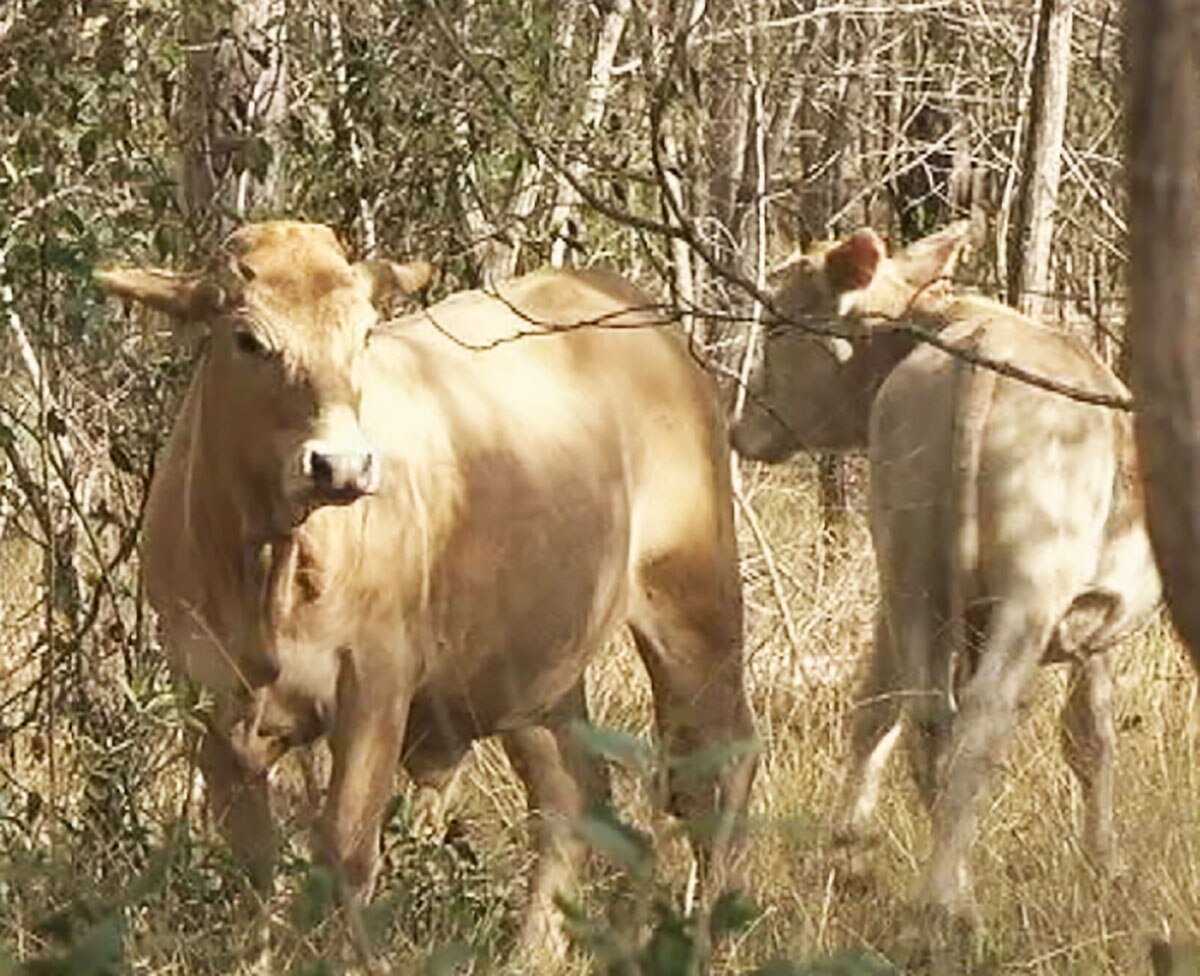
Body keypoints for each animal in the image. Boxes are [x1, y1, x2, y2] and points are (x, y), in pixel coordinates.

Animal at [96, 221, 756, 964]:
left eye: (363, 335)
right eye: (249, 339)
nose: (341, 465)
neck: (266, 567)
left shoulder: (374, 682)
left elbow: (346, 850)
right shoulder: (207, 699)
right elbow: (254, 862)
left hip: (692, 602)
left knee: (718, 769)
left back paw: (708, 939)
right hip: (535, 674)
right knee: (572, 798)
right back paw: (533, 954)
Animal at [731, 222, 1160, 930]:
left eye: (777, 327)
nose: (739, 426)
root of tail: (979, 349)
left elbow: (873, 707)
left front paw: (848, 847)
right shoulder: (1095, 626)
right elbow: (1090, 736)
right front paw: (1108, 866)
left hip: (911, 566)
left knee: (924, 714)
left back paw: (933, 885)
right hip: (1027, 591)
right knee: (979, 724)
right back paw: (948, 906)